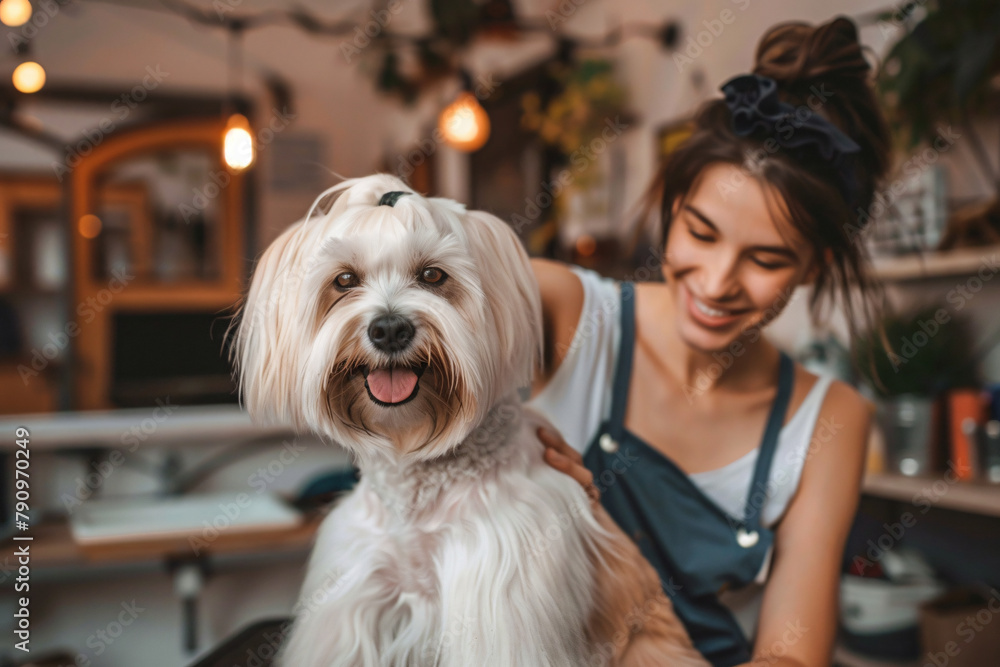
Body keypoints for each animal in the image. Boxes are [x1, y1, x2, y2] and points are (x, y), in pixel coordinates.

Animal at [234, 175, 708, 664]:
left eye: (432, 275)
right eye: (344, 280)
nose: (389, 329)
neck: (418, 491)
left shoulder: (499, 602)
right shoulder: (356, 597)